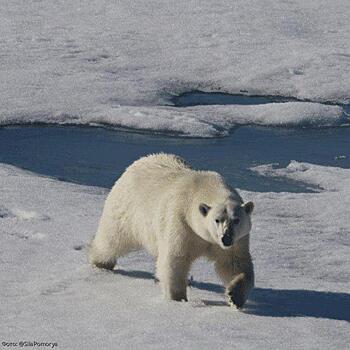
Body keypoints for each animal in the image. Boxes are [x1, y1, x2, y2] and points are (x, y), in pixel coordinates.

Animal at [89, 154, 254, 308]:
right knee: (112, 239)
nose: (226, 238)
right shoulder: (181, 222)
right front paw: (178, 299)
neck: (202, 189)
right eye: (217, 220)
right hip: (126, 210)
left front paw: (234, 296)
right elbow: (175, 258)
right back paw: (101, 263)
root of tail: (136, 163)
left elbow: (233, 263)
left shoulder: (236, 240)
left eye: (236, 220)